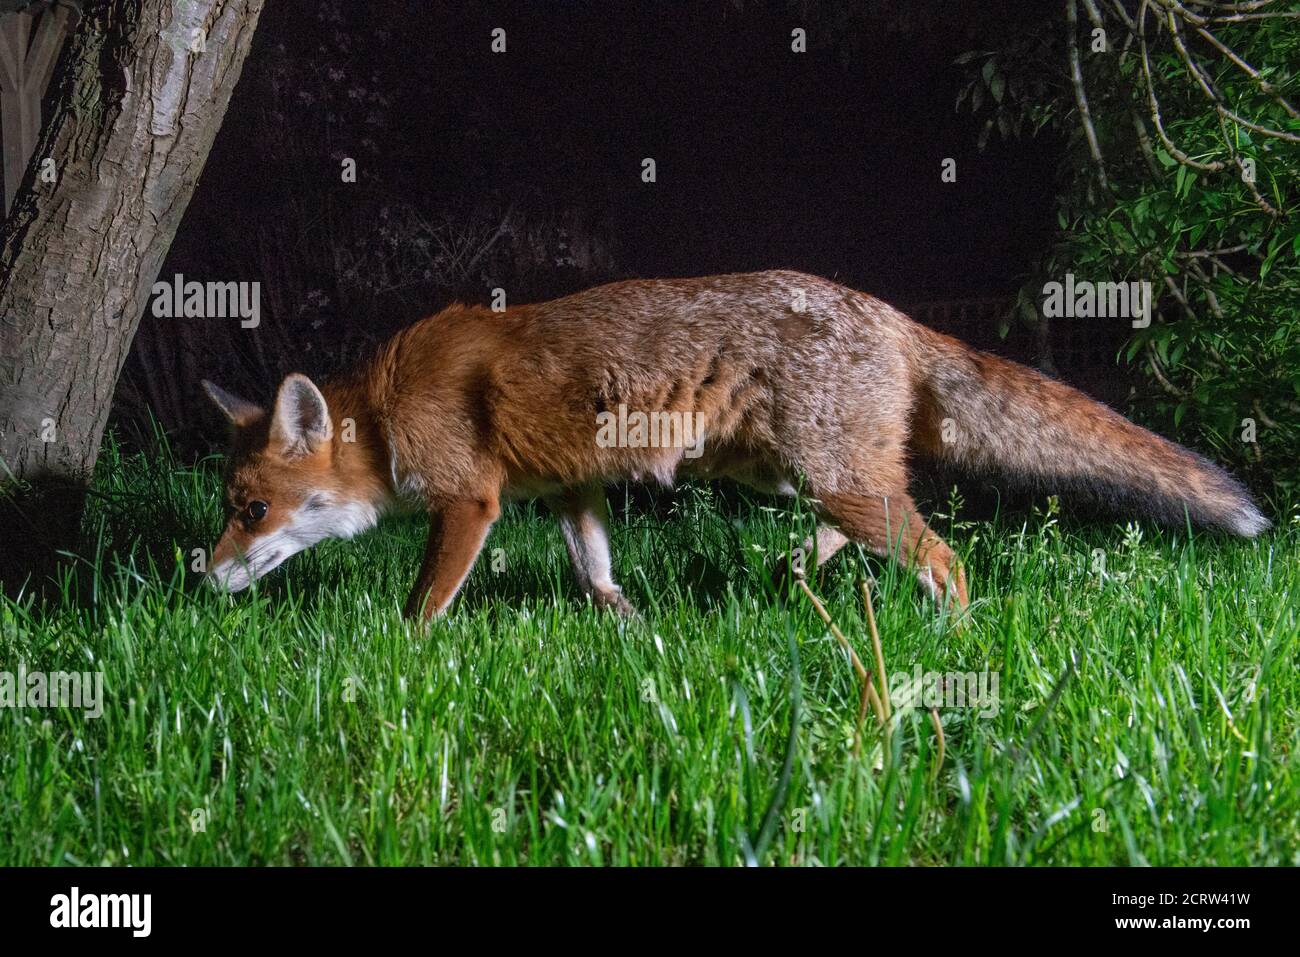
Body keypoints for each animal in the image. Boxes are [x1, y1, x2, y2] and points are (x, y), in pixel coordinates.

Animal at [202, 269, 1268, 616]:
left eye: (252, 509)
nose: (199, 578)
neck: (385, 411)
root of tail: (889, 313)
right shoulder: (566, 488)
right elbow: (597, 570)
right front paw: (630, 627)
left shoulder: (473, 500)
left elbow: (423, 602)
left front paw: (398, 653)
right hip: (802, 477)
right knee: (879, 521)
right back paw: (799, 572)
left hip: (829, 477)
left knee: (945, 555)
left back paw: (952, 636)